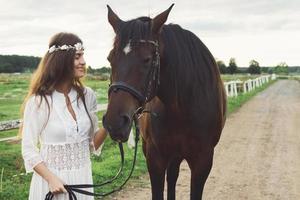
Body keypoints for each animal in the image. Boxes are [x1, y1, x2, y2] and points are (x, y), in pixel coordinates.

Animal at [102, 3, 226, 199]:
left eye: (147, 59)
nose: (114, 123)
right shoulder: (155, 159)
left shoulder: (203, 162)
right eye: (110, 58)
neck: (182, 108)